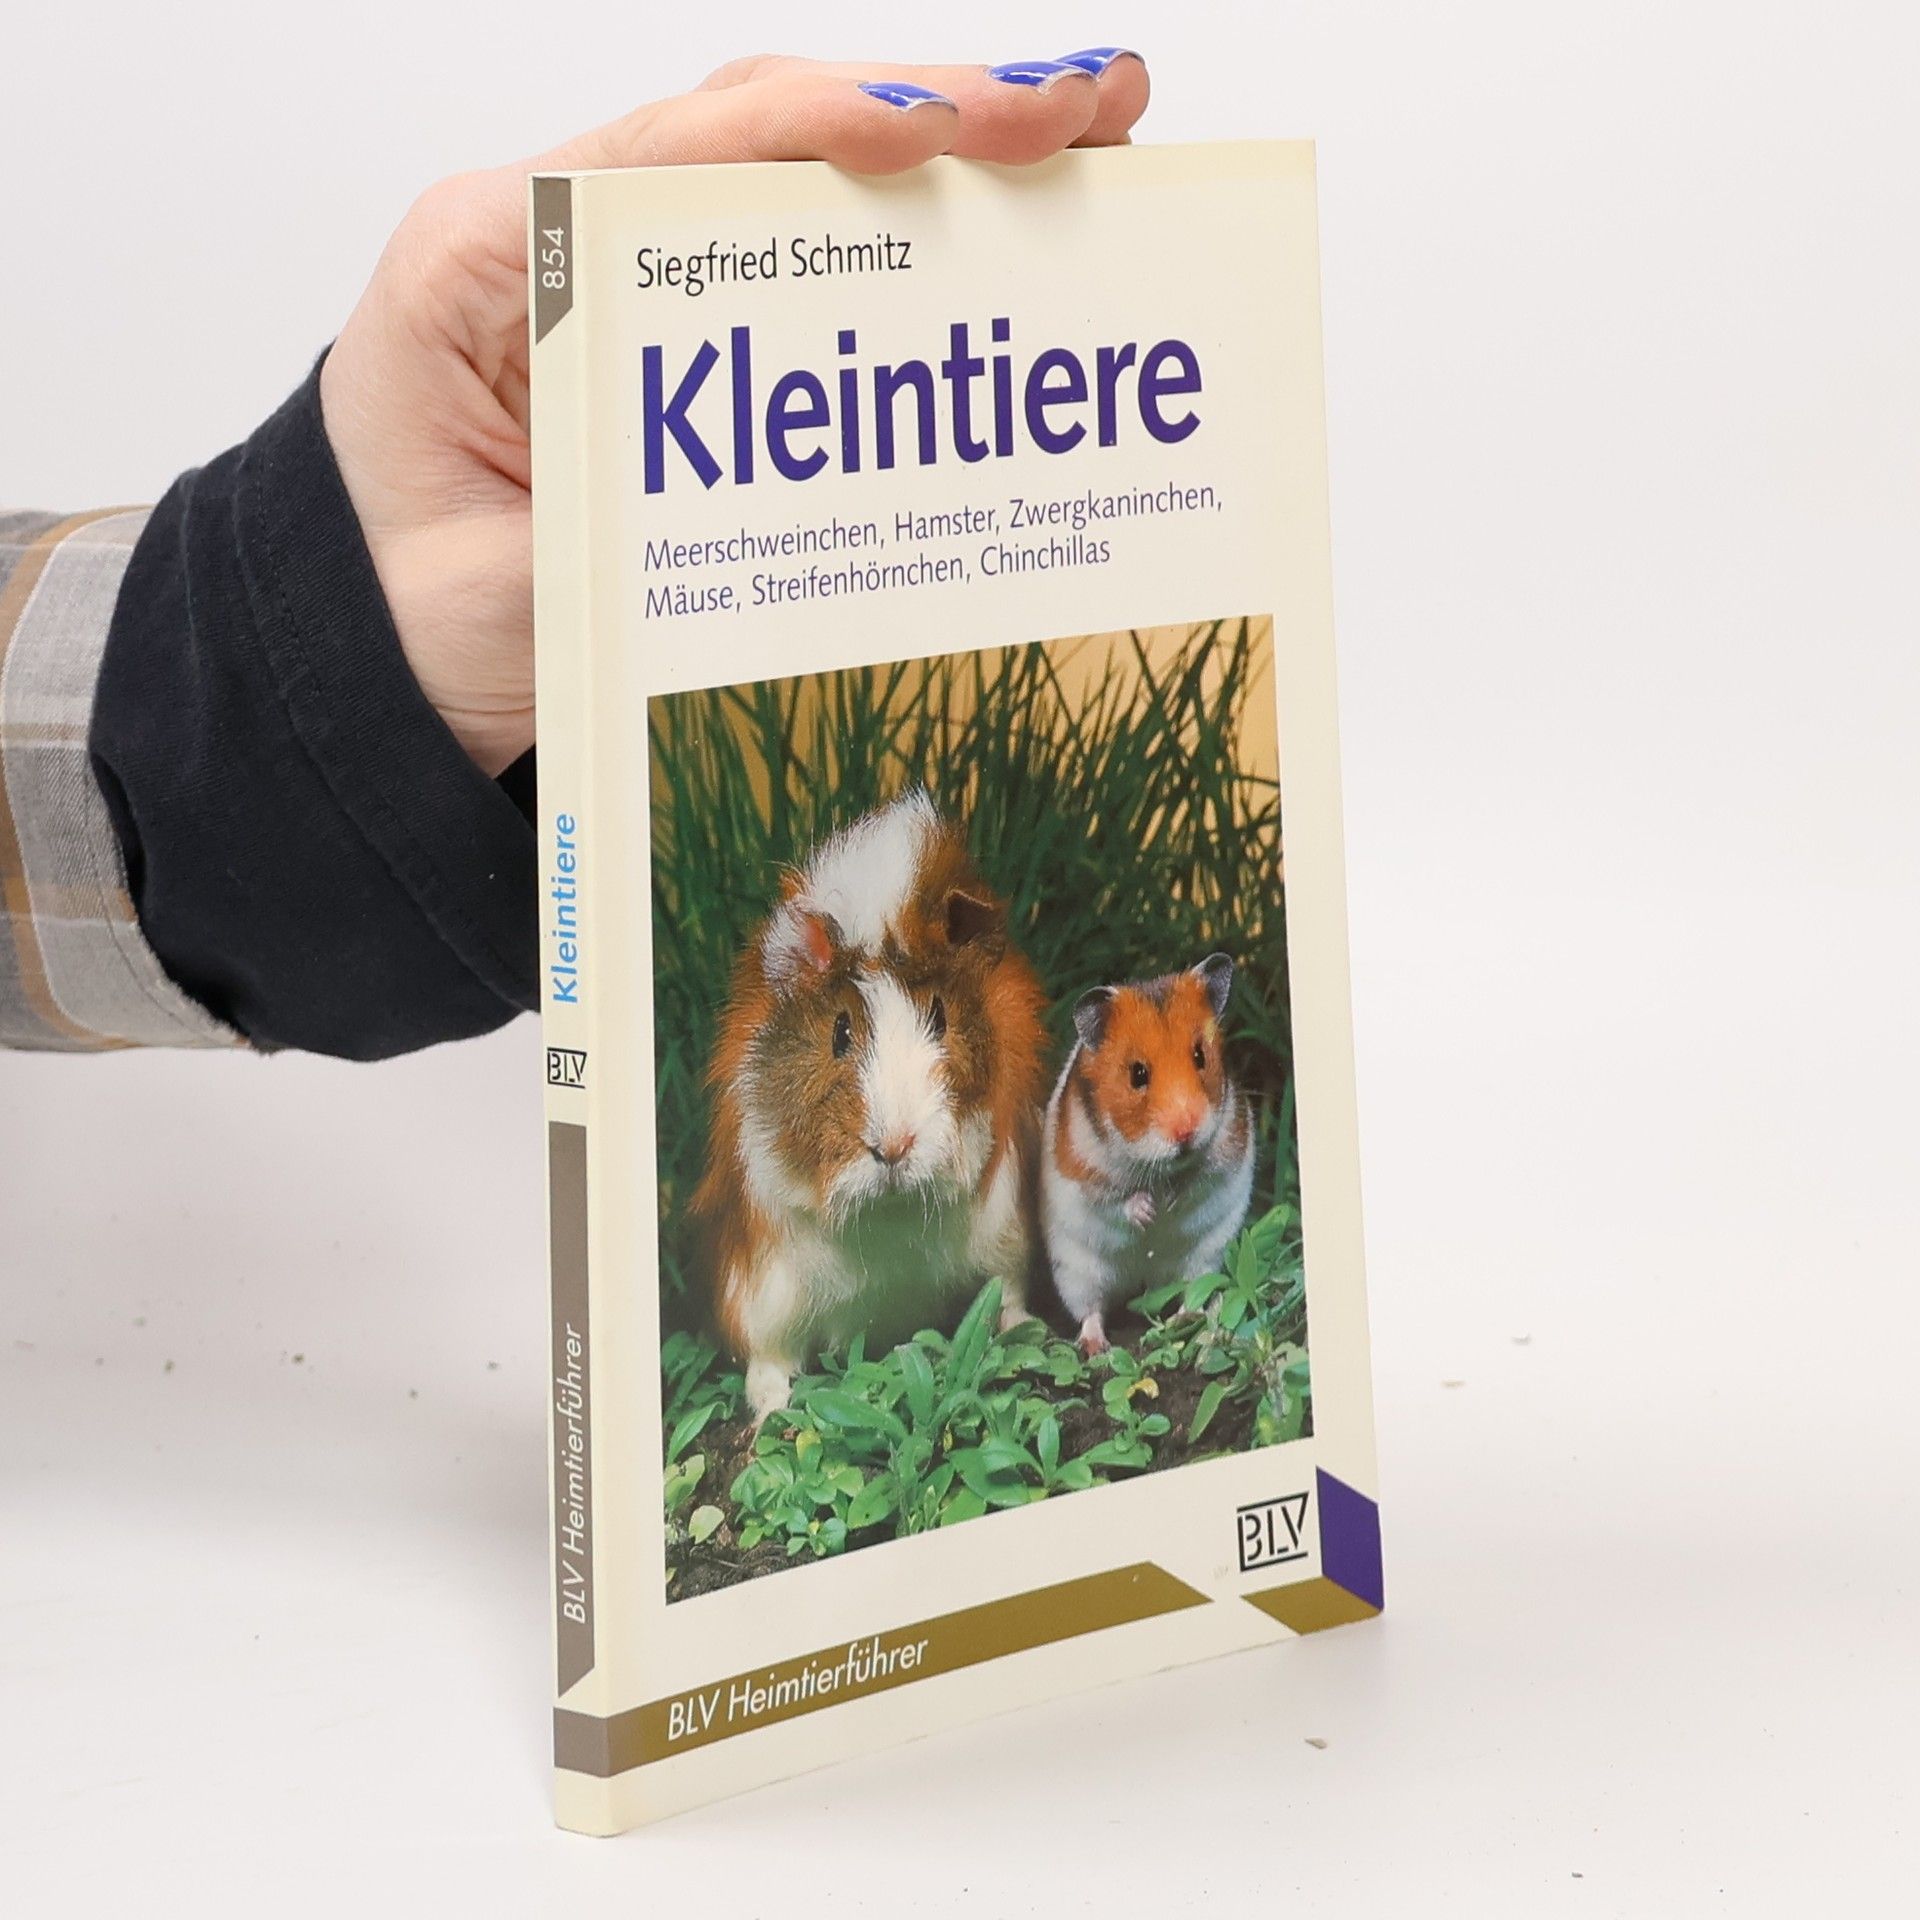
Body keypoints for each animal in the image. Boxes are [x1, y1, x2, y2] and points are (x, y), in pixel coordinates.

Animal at [694, 790, 1048, 1420]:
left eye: (940, 1016)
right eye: (840, 1032)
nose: (893, 1146)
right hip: (765, 1294)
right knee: (770, 1359)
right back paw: (771, 1411)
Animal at [1041, 954, 1255, 1355]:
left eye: (1200, 1055)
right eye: (1138, 1074)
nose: (1186, 1133)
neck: (1154, 1165)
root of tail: (1144, 1283)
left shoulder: (1227, 1150)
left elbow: (1197, 1180)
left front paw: (1170, 1201)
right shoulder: (1084, 1173)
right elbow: (1117, 1201)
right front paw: (1149, 1211)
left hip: (1206, 1256)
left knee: (1191, 1292)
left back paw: (1185, 1320)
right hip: (1077, 1270)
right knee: (1091, 1309)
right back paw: (1096, 1347)